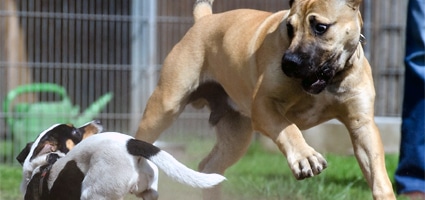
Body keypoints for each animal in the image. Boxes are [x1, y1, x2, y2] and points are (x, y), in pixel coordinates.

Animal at [135, 0, 394, 199]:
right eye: (289, 28)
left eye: (320, 27)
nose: (289, 62)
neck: (330, 80)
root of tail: (204, 19)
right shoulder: (263, 106)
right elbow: (289, 129)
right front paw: (305, 157)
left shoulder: (362, 126)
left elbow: (377, 173)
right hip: (163, 108)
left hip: (236, 136)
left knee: (209, 167)